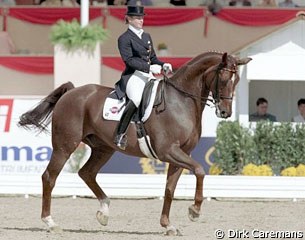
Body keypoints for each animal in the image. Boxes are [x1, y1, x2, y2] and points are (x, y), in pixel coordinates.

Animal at [17, 51, 249, 235]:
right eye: (224, 77)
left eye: (237, 80)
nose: (225, 112)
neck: (180, 101)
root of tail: (72, 91)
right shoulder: (168, 151)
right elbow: (200, 170)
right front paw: (194, 211)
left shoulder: (180, 154)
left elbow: (169, 189)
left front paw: (168, 225)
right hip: (65, 146)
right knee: (49, 177)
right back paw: (50, 222)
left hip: (103, 148)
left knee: (87, 173)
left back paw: (104, 211)